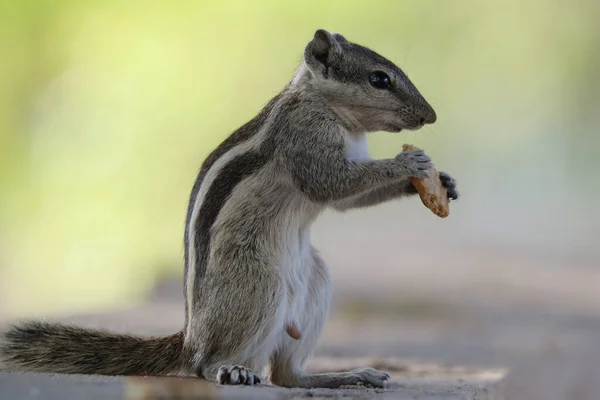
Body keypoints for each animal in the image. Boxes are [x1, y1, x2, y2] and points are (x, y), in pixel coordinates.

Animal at [1, 29, 460, 390]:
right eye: (379, 79)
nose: (431, 115)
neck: (330, 110)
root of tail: (191, 339)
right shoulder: (304, 139)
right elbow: (330, 183)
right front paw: (407, 164)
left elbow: (348, 198)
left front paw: (444, 183)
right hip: (257, 283)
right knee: (207, 367)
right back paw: (232, 370)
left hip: (316, 283)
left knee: (287, 375)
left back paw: (345, 376)